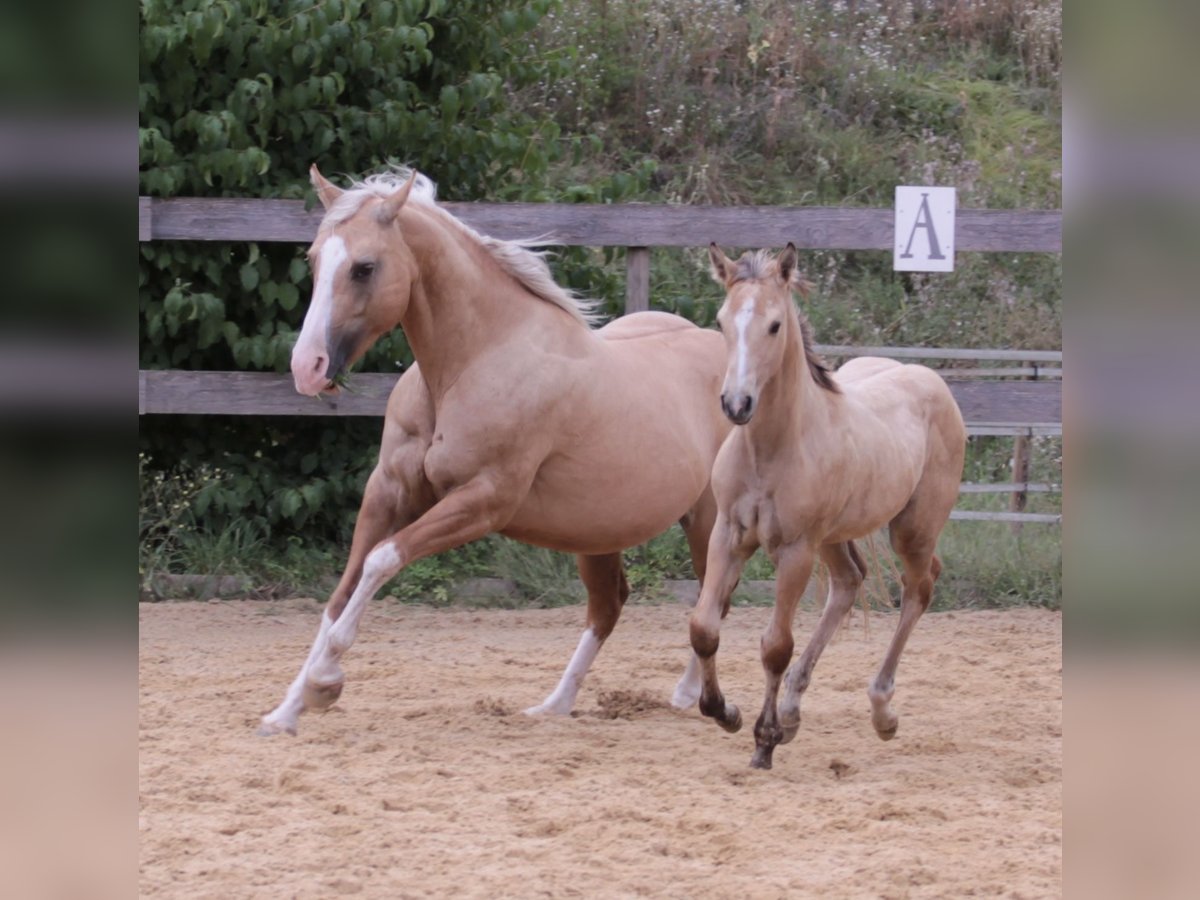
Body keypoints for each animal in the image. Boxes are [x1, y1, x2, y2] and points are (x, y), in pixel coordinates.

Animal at [260, 169, 729, 739]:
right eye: (313, 259)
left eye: (364, 267)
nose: (307, 367)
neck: (474, 361)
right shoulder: (388, 491)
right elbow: (340, 593)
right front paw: (287, 710)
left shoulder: (482, 501)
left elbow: (380, 561)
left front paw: (325, 682)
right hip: (598, 532)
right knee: (609, 607)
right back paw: (553, 705)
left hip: (708, 520)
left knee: (711, 600)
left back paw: (687, 695)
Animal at [686, 244, 964, 768]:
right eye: (721, 320)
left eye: (775, 325)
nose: (736, 404)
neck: (771, 449)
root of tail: (930, 379)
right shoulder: (729, 535)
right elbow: (705, 628)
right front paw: (726, 712)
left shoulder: (795, 549)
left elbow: (775, 645)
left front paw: (764, 741)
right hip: (835, 536)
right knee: (848, 583)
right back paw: (794, 710)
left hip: (912, 530)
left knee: (919, 589)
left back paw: (882, 711)